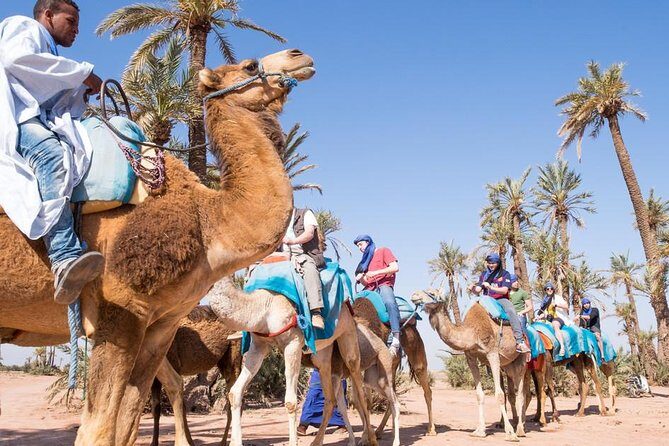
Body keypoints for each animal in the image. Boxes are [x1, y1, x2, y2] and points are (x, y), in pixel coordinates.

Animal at [151, 305, 242, 446]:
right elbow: (156, 407)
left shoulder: (174, 364)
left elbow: (180, 405)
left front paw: (188, 442)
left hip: (233, 357)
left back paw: (224, 442)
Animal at [208, 274, 378, 446]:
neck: (265, 308)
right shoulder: (258, 345)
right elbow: (235, 392)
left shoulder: (293, 343)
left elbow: (290, 402)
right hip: (323, 355)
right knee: (330, 398)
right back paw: (318, 442)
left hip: (348, 336)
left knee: (360, 391)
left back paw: (371, 438)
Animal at [412, 289, 527, 441]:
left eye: (431, 292)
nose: (414, 295)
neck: (472, 333)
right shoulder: (471, 357)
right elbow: (479, 394)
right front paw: (480, 431)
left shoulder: (492, 353)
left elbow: (499, 395)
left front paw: (510, 433)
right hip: (508, 364)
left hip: (521, 359)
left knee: (521, 392)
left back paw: (520, 429)